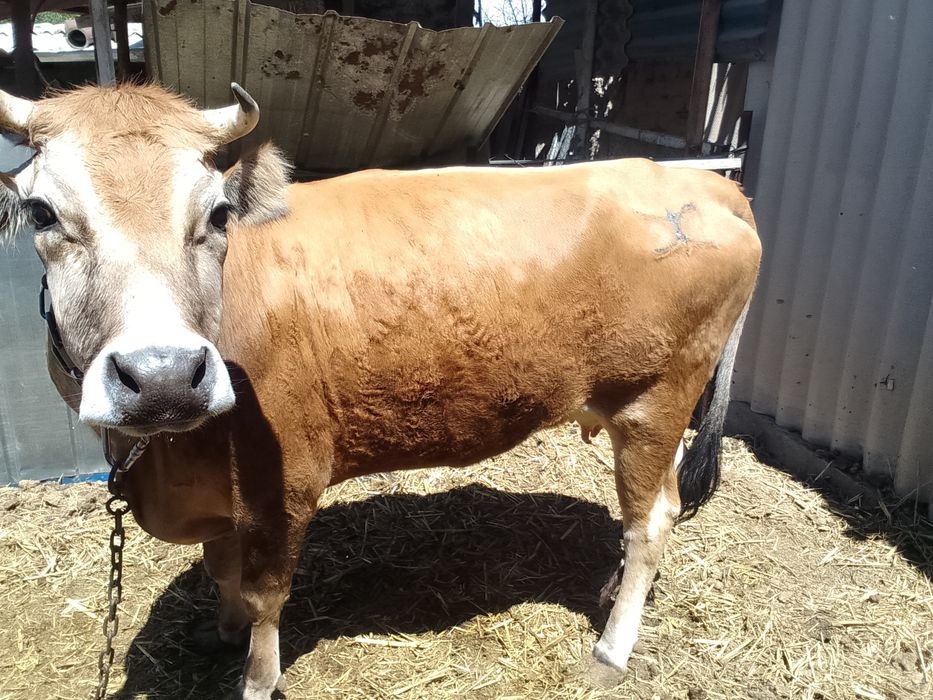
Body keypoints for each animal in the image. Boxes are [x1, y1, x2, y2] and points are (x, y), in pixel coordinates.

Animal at [0, 82, 760, 699]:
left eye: (217, 213)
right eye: (41, 213)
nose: (162, 374)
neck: (166, 463)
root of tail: (701, 183)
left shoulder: (285, 483)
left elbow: (266, 595)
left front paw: (256, 675)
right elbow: (221, 570)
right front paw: (222, 628)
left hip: (654, 399)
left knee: (649, 519)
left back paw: (611, 647)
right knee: (655, 510)